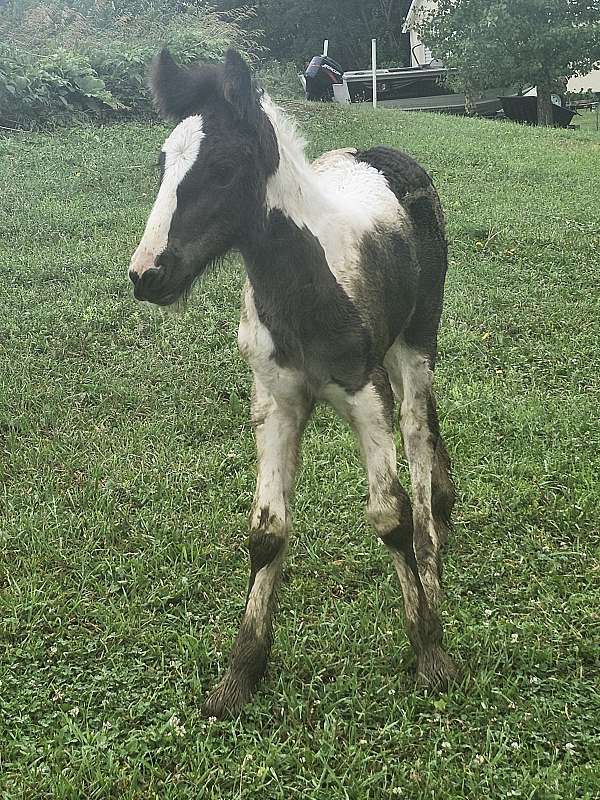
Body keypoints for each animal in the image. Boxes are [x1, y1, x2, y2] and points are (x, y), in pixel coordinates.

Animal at [129, 47, 458, 716]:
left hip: (415, 341)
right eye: (162, 164)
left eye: (224, 169)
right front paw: (239, 675)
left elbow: (389, 516)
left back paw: (434, 554)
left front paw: (430, 652)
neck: (304, 281)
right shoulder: (275, 400)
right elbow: (267, 531)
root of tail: (390, 153)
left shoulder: (366, 393)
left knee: (418, 432)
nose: (147, 273)